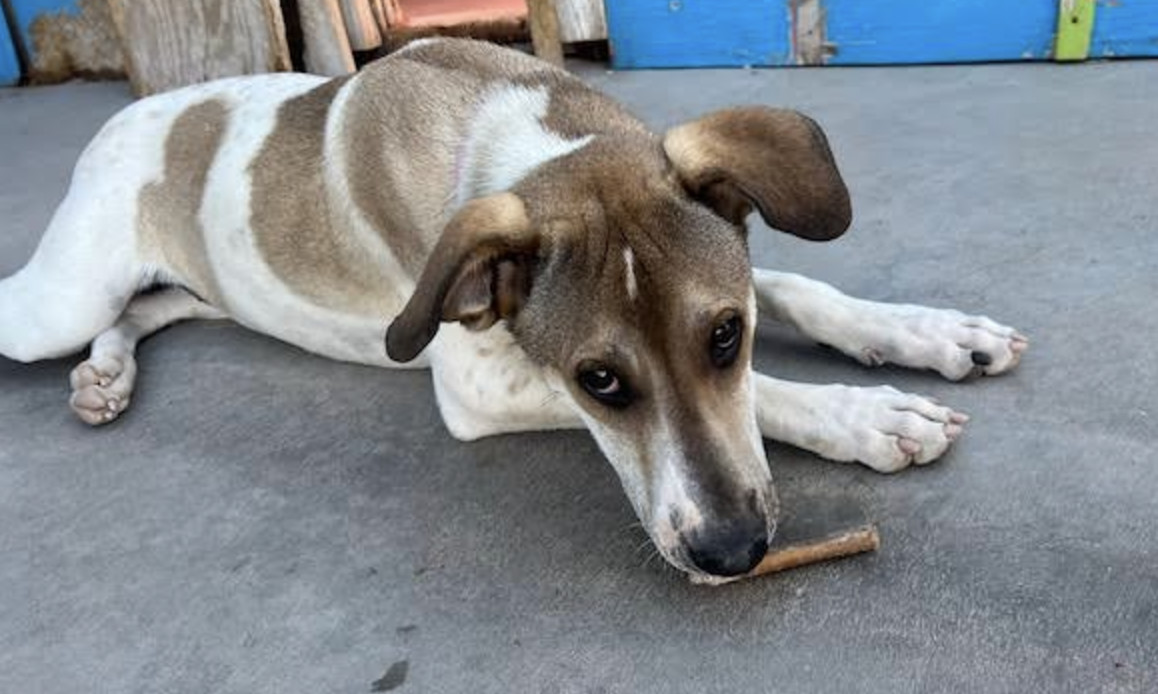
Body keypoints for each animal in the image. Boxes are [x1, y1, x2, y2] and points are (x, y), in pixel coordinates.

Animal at [0, 36, 1028, 581]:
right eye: (598, 380)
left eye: (724, 335)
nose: (733, 553)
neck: (525, 145)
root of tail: (126, 113)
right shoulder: (474, 383)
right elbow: (777, 391)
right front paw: (868, 417)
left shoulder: (734, 270)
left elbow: (801, 291)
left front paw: (929, 334)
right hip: (60, 297)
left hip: (195, 294)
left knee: (152, 308)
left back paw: (105, 376)